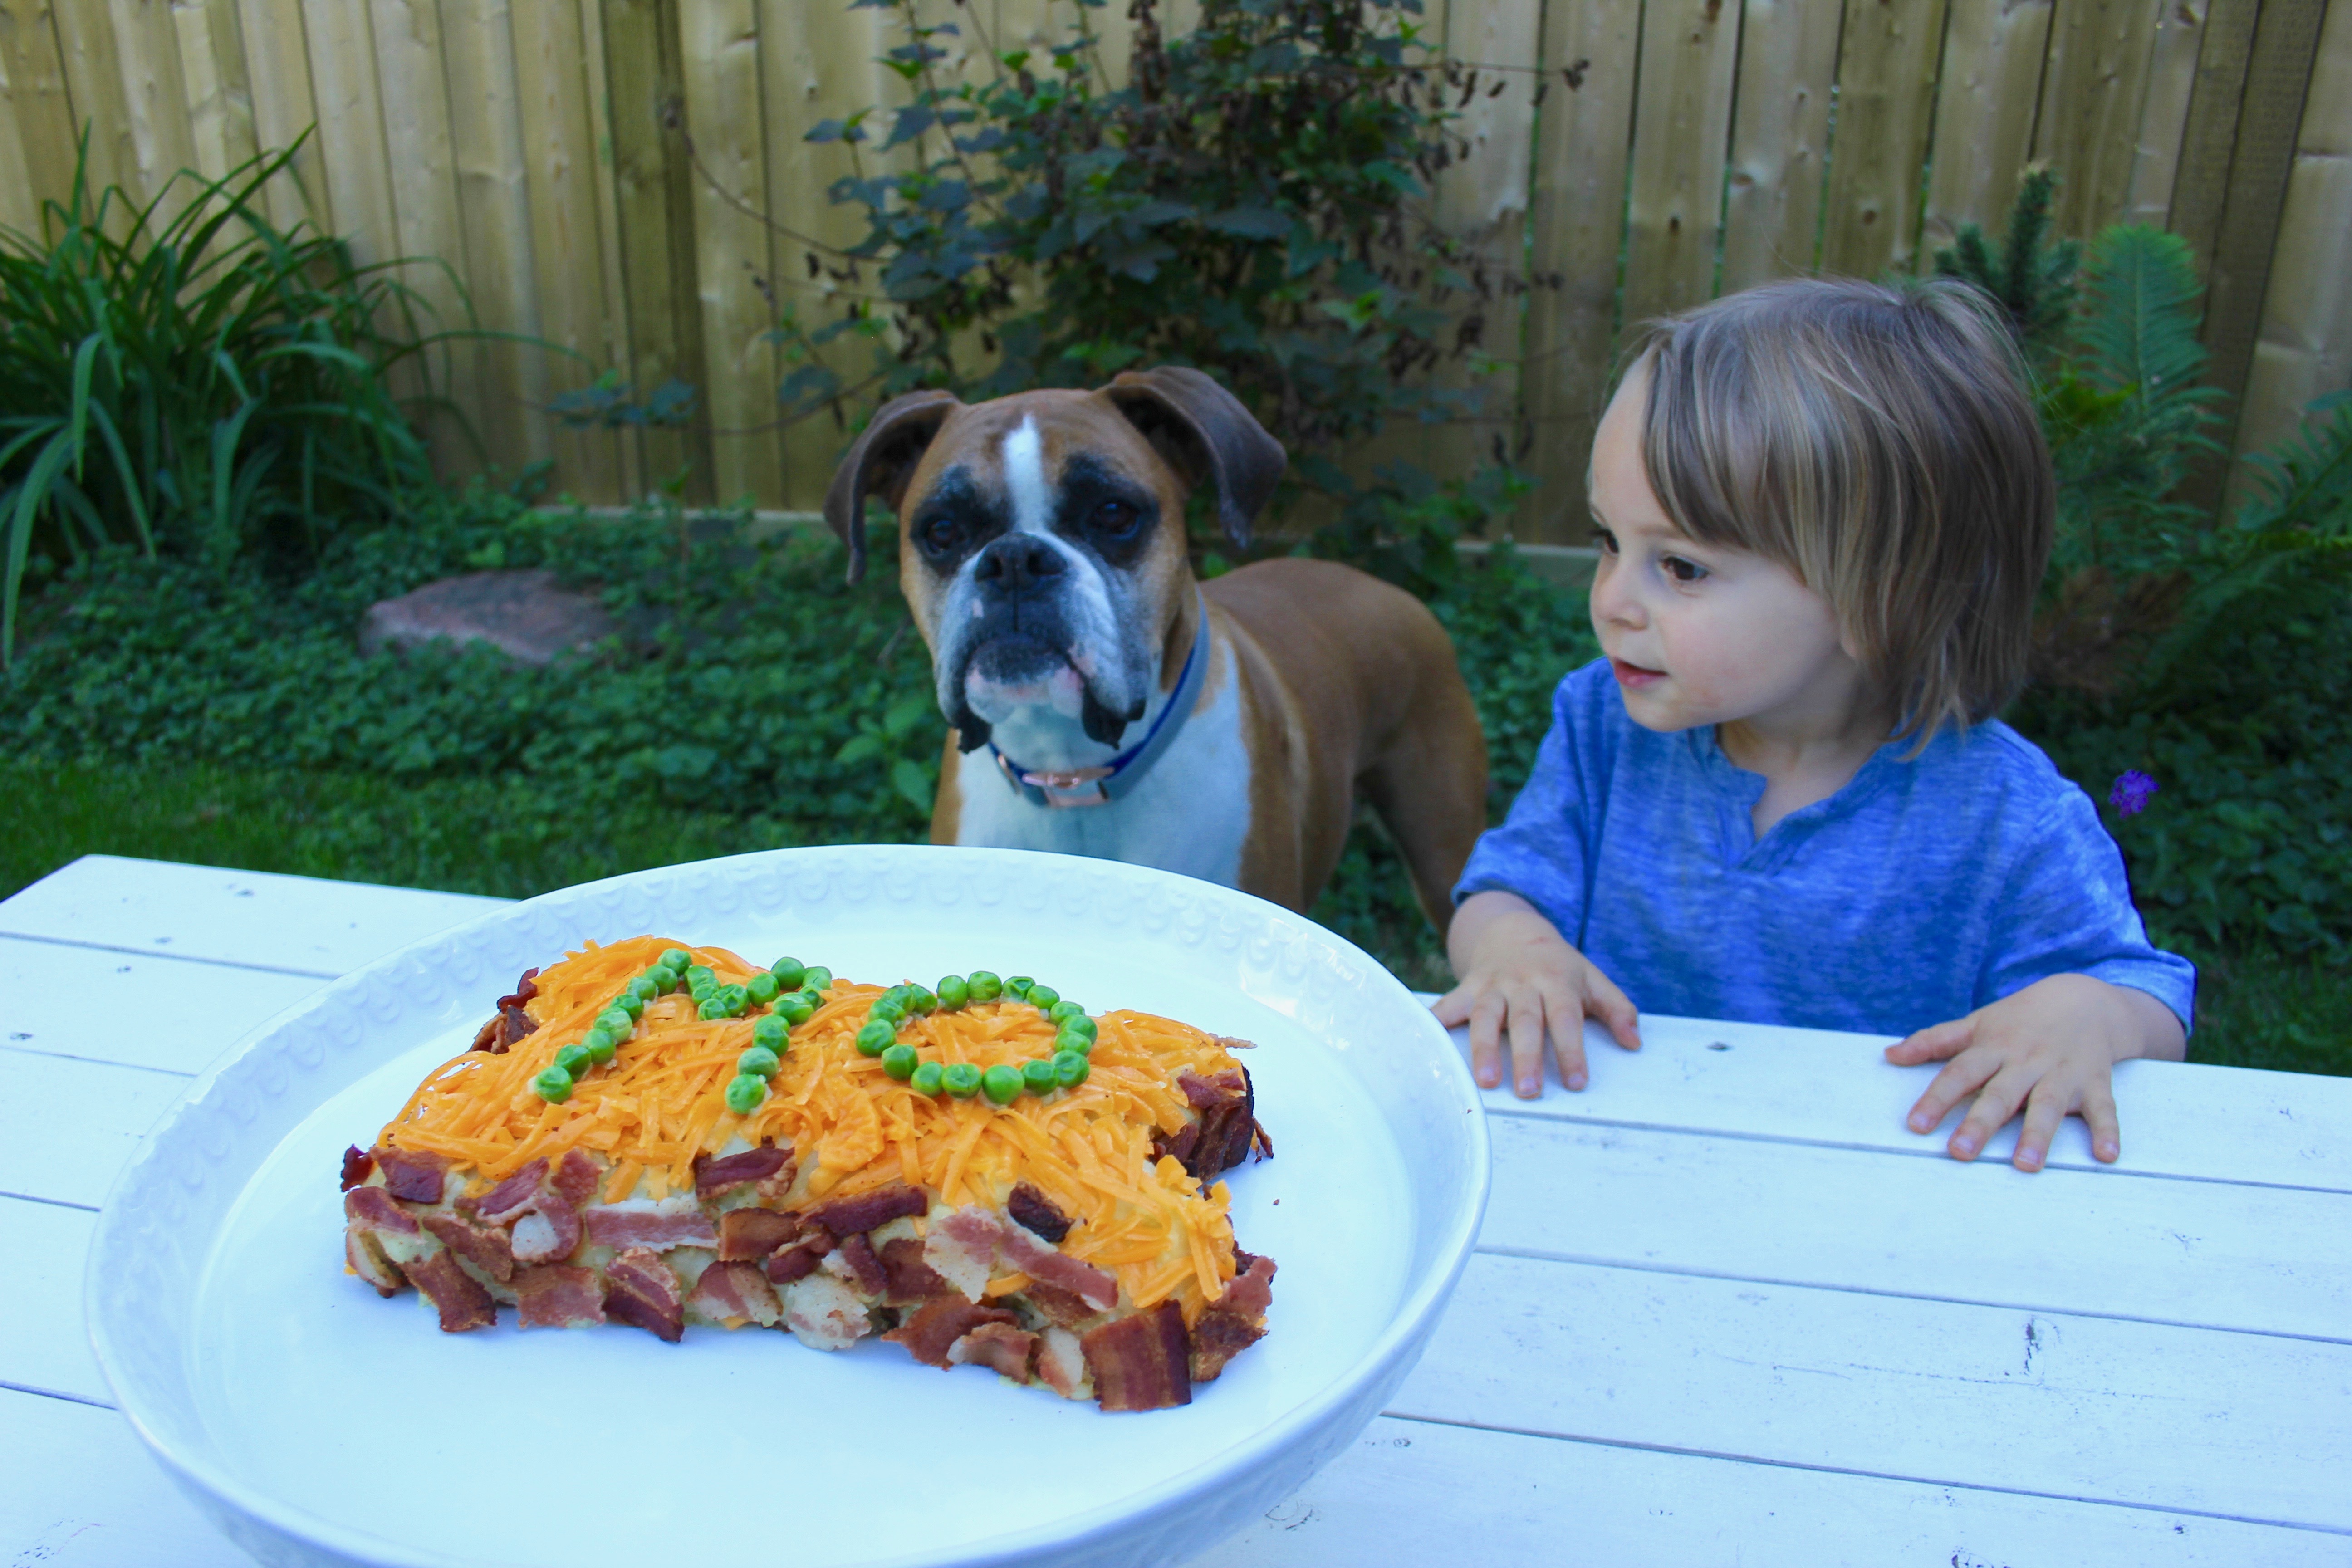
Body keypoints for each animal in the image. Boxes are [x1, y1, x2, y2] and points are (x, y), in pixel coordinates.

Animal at [828, 369, 1486, 931]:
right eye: (941, 531)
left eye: (1114, 513)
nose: (1015, 560)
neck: (1071, 769)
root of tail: (1384, 587)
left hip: (1443, 851)